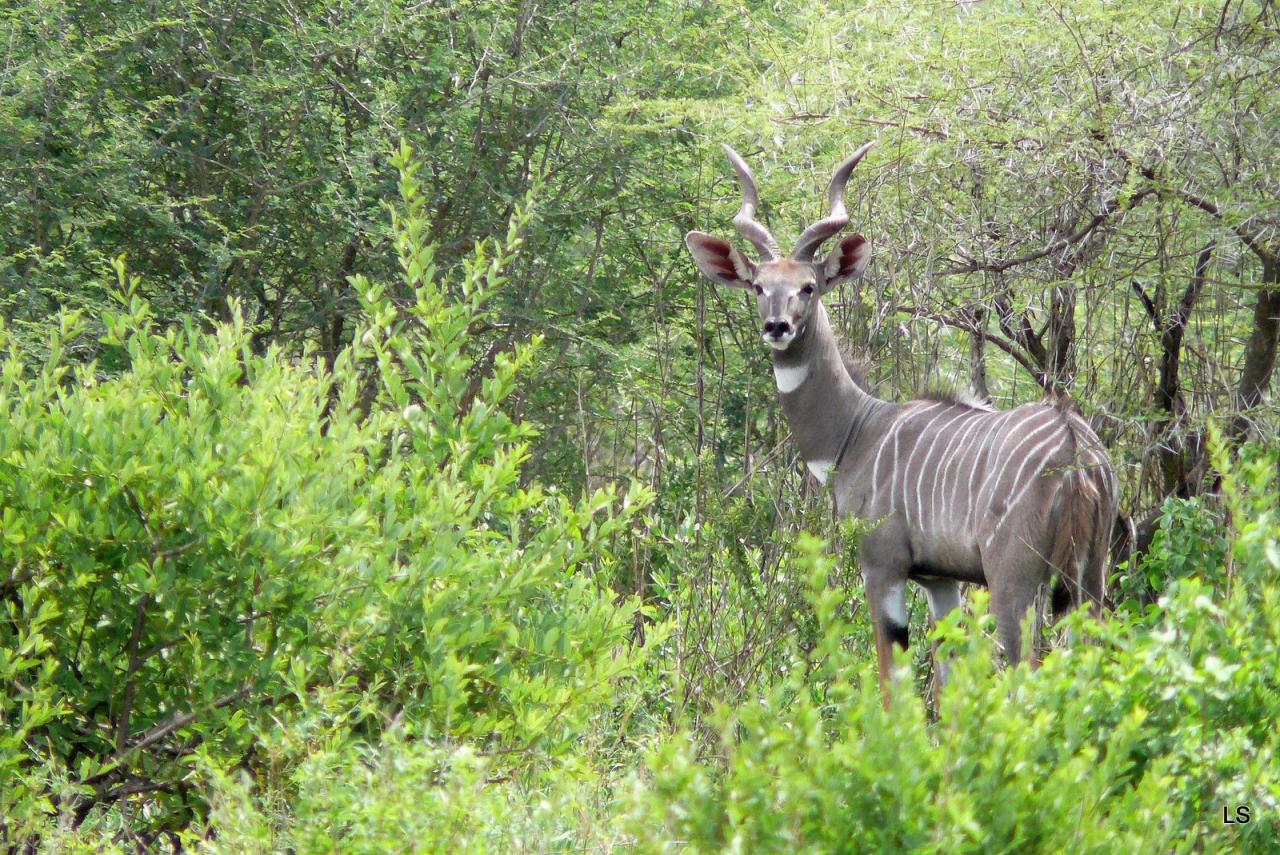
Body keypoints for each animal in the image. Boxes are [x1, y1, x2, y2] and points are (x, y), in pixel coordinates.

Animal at [686, 143, 1116, 691]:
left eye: (808, 286)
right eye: (759, 285)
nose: (777, 327)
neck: (858, 431)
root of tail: (1075, 448)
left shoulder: (881, 563)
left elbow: (894, 677)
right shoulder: (939, 578)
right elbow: (948, 675)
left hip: (1014, 578)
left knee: (1026, 669)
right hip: (1089, 576)